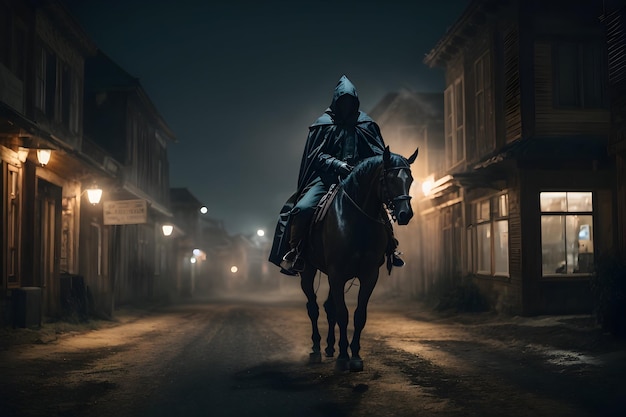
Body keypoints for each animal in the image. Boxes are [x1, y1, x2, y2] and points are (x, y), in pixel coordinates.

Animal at [300, 145, 416, 370]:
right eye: (389, 179)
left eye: (411, 179)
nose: (405, 214)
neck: (356, 221)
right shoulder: (337, 274)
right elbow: (343, 314)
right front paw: (343, 357)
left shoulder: (369, 275)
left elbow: (359, 315)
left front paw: (354, 356)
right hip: (308, 271)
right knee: (313, 308)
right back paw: (317, 349)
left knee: (328, 307)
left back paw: (330, 347)